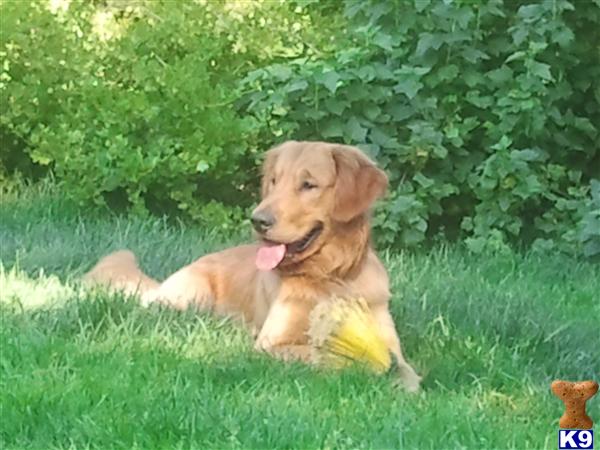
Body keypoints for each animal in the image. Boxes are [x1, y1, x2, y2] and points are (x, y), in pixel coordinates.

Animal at [85, 141, 422, 390]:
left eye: (308, 184)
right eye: (274, 181)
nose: (258, 220)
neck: (329, 275)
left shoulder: (390, 340)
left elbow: (404, 367)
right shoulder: (271, 344)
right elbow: (322, 353)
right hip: (190, 297)